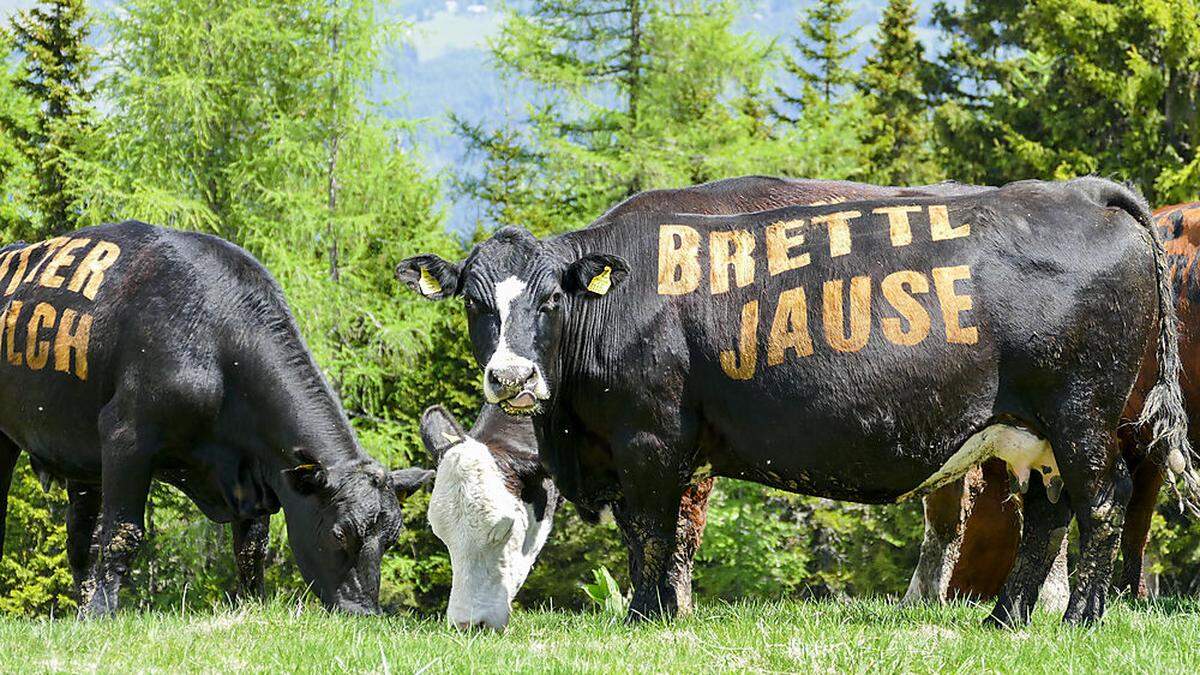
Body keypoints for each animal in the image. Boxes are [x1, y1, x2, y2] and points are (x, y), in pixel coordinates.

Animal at [0, 220, 436, 614]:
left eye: (391, 540)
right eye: (341, 533)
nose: (365, 612)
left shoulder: (257, 473)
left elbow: (251, 546)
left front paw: (252, 606)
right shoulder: (126, 434)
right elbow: (124, 533)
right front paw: (104, 613)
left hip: (81, 457)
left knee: (80, 539)